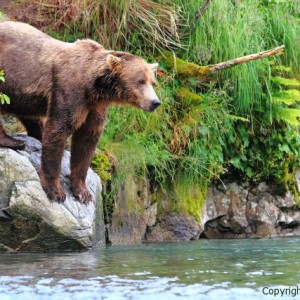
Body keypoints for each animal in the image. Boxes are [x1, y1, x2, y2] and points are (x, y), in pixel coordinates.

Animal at [0, 21, 161, 204]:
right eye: (140, 81)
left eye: (153, 82)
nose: (155, 102)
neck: (93, 87)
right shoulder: (69, 90)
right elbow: (59, 128)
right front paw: (55, 190)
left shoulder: (96, 107)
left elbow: (87, 140)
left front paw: (83, 192)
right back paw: (13, 141)